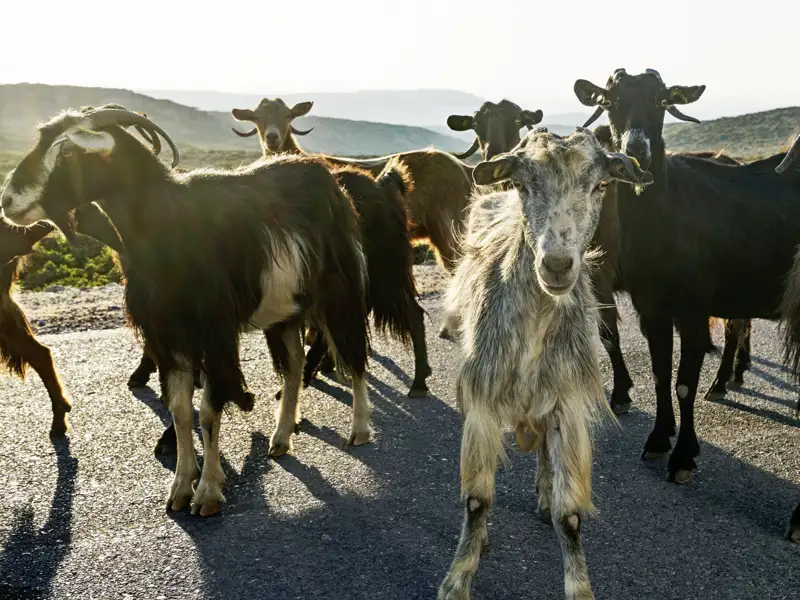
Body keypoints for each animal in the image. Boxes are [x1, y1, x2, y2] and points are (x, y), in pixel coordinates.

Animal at [1, 107, 372, 517]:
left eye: (66, 151)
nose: (8, 201)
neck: (169, 223)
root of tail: (328, 179)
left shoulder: (214, 334)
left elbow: (208, 411)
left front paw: (208, 491)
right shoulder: (168, 335)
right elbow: (179, 410)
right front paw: (180, 487)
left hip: (340, 290)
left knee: (354, 353)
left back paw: (359, 431)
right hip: (285, 310)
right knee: (293, 367)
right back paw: (280, 438)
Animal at [437, 127, 653, 600]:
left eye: (601, 185)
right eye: (522, 184)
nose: (556, 265)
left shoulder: (566, 402)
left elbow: (569, 513)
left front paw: (579, 586)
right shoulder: (481, 400)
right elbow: (477, 500)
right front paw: (458, 577)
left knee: (543, 456)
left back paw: (542, 489)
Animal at [574, 68, 800, 492]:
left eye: (661, 101)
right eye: (610, 102)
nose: (637, 152)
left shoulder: (693, 308)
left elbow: (683, 382)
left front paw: (682, 458)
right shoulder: (652, 309)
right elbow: (661, 374)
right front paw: (658, 440)